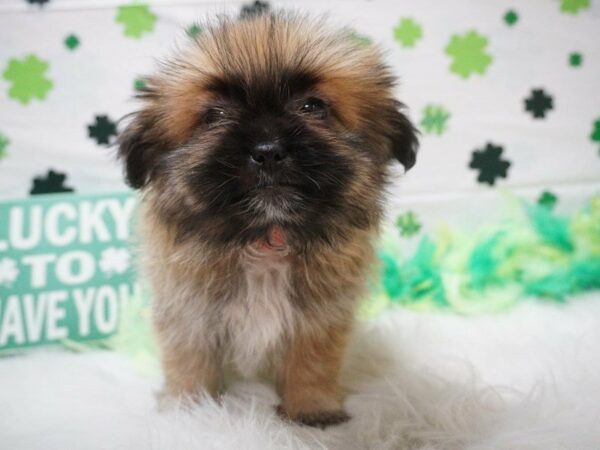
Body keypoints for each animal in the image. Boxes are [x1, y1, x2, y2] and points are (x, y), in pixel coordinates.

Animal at [117, 12, 418, 428]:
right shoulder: (188, 312)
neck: (265, 239)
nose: (268, 150)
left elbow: (312, 363)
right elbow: (188, 359)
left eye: (313, 106)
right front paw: (189, 409)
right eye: (214, 116)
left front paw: (311, 409)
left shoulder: (319, 318)